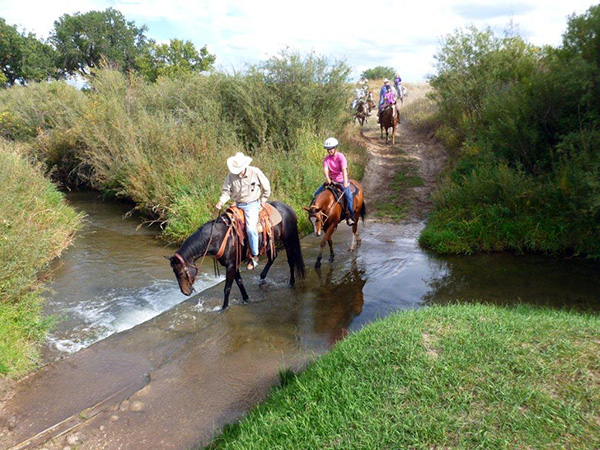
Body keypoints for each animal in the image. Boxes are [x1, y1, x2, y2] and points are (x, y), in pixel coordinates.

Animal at [171, 201, 308, 310]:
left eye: (182, 272)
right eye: (174, 273)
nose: (185, 292)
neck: (218, 237)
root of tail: (288, 208)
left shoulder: (231, 265)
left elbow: (227, 288)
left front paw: (223, 307)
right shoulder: (233, 263)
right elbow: (240, 282)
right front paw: (246, 299)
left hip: (288, 240)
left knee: (291, 260)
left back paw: (291, 282)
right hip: (270, 243)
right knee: (272, 257)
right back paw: (262, 277)